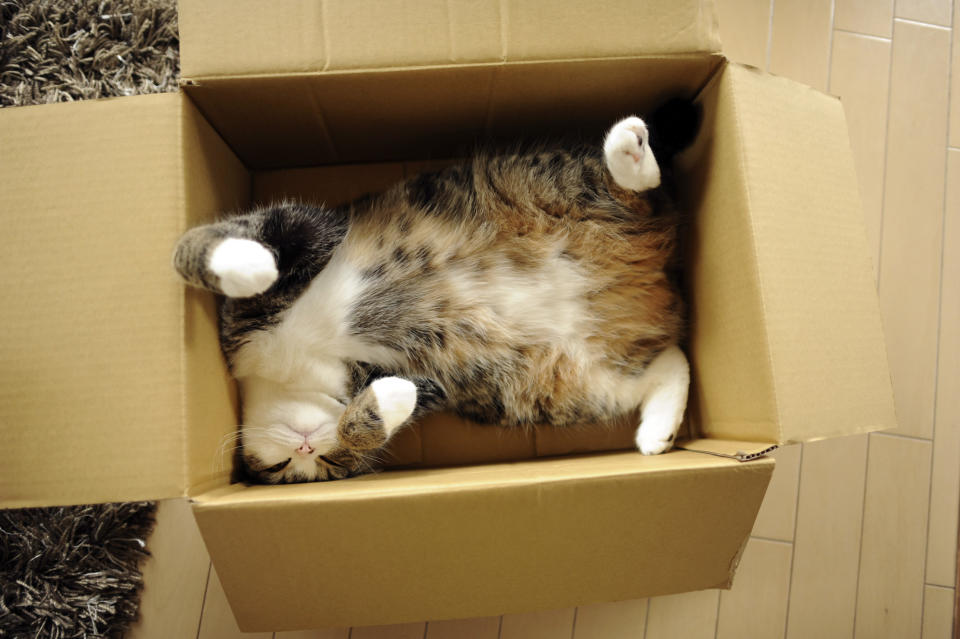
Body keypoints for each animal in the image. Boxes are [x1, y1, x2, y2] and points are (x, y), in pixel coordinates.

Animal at [172, 105, 696, 484]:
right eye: (305, 468)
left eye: (321, 464)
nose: (307, 450)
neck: (288, 372)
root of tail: (658, 278)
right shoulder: (430, 383)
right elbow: (382, 411)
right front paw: (387, 401)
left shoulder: (318, 228)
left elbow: (222, 239)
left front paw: (245, 263)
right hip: (565, 389)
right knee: (668, 363)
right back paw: (657, 431)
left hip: (541, 183)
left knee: (638, 189)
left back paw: (629, 152)